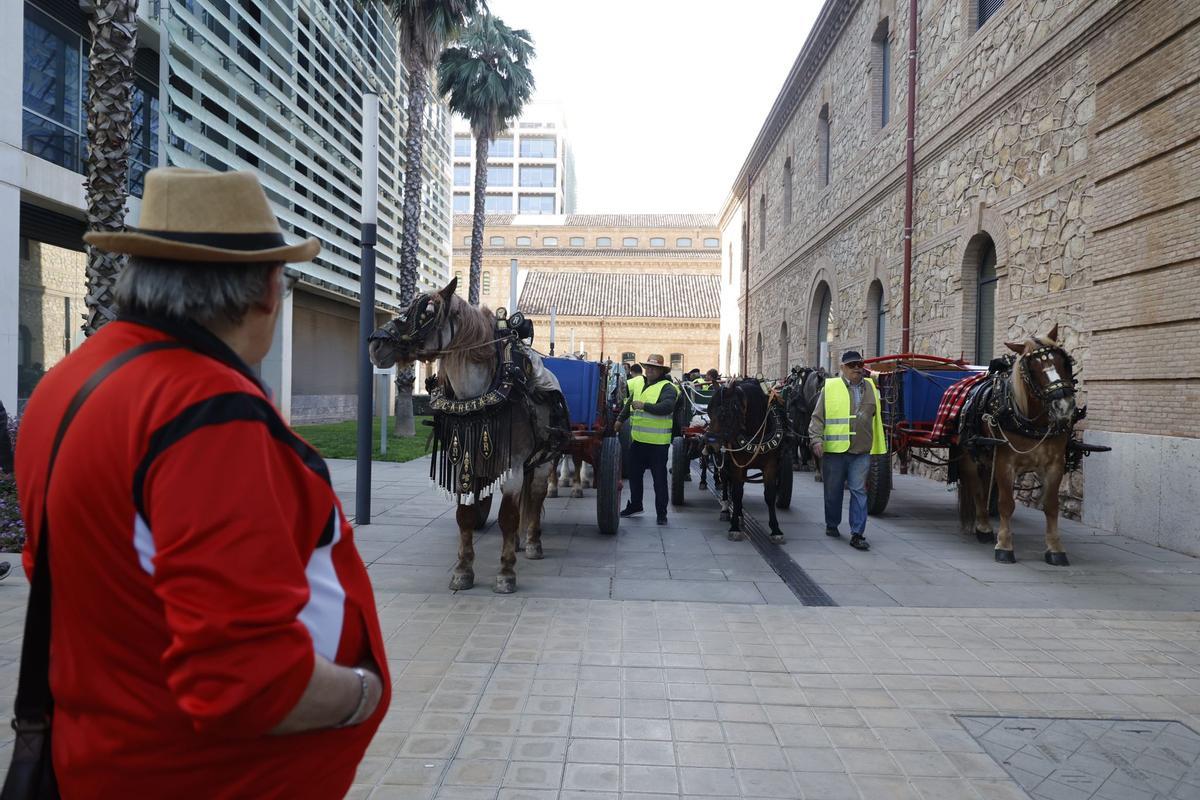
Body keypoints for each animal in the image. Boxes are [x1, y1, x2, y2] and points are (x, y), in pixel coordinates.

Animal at [710, 381, 787, 544]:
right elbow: (737, 493)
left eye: (723, 414)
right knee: (725, 480)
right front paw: (734, 527)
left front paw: (775, 529)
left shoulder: (770, 466)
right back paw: (726, 509)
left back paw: (739, 513)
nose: (709, 443)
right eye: (708, 410)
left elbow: (770, 495)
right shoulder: (737, 465)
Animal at [955, 323, 1080, 563]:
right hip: (969, 456)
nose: (1064, 406)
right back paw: (983, 528)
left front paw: (1055, 549)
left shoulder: (1055, 465)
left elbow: (1051, 505)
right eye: (1033, 369)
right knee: (977, 489)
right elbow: (1006, 504)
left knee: (984, 485)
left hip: (988, 456)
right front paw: (1004, 546)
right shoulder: (1006, 463)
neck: (1034, 422)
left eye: (1064, 362)